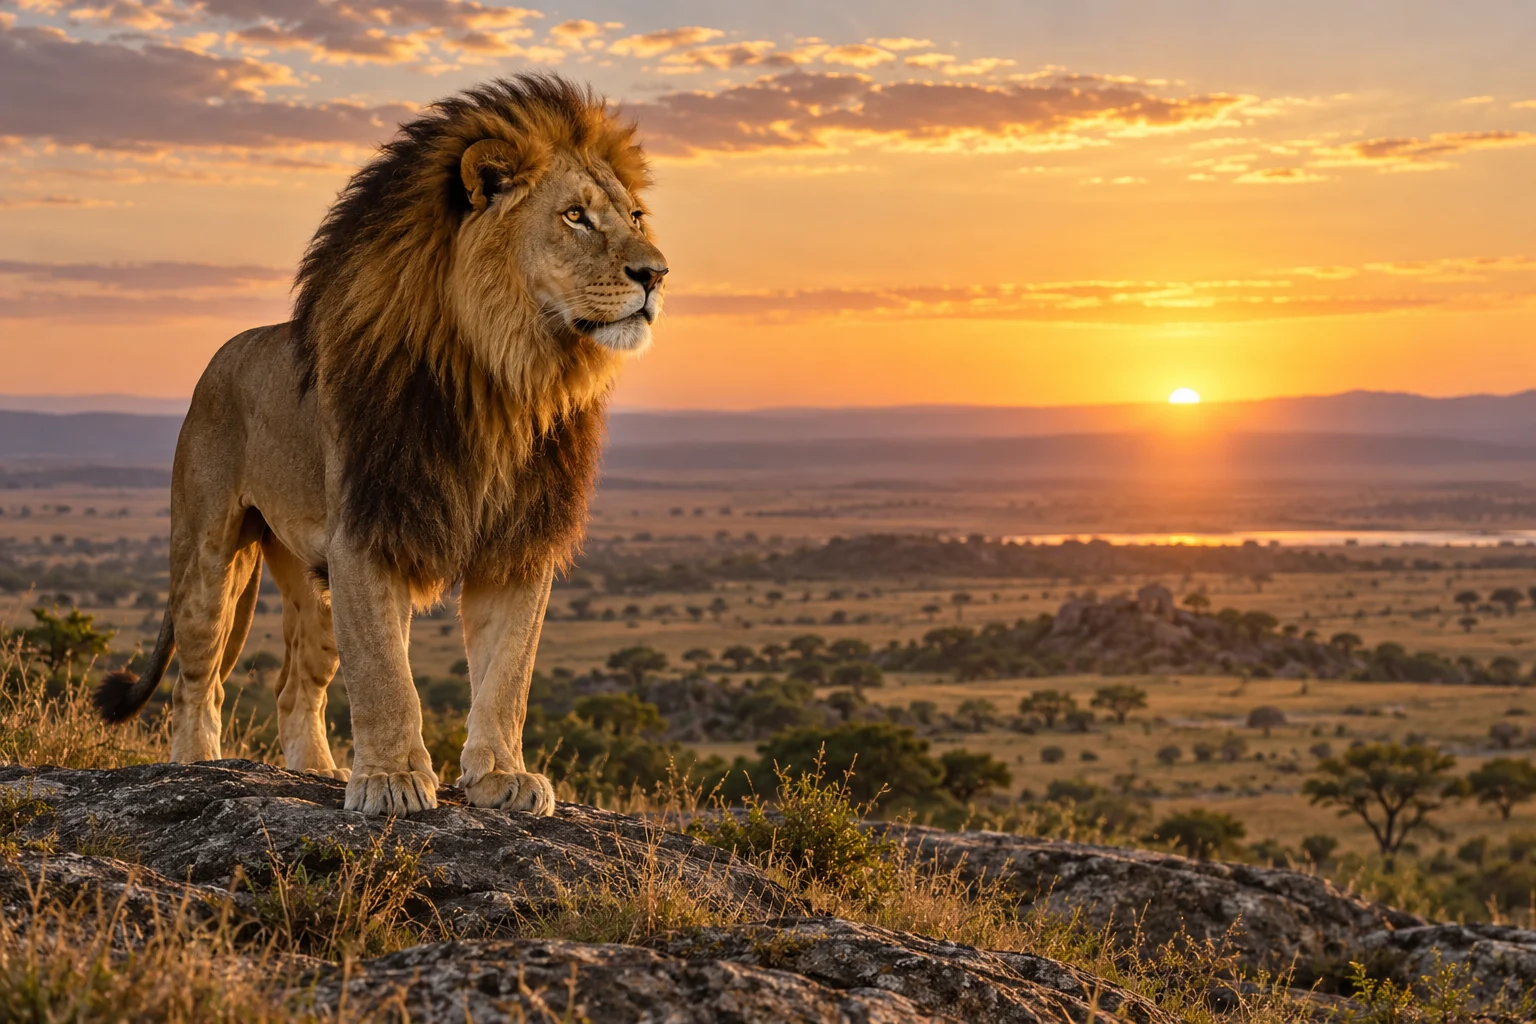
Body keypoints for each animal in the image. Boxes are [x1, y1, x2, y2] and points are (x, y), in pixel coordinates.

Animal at [93, 75, 668, 817]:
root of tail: (221, 356)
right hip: (209, 558)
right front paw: (393, 780)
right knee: (201, 677)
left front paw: (502, 774)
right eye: (575, 216)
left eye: (635, 216)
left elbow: (508, 673)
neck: (507, 378)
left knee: (294, 687)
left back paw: (317, 769)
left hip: (314, 584)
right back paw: (196, 766)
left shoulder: (518, 542)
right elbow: (385, 675)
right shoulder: (369, 531)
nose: (656, 273)